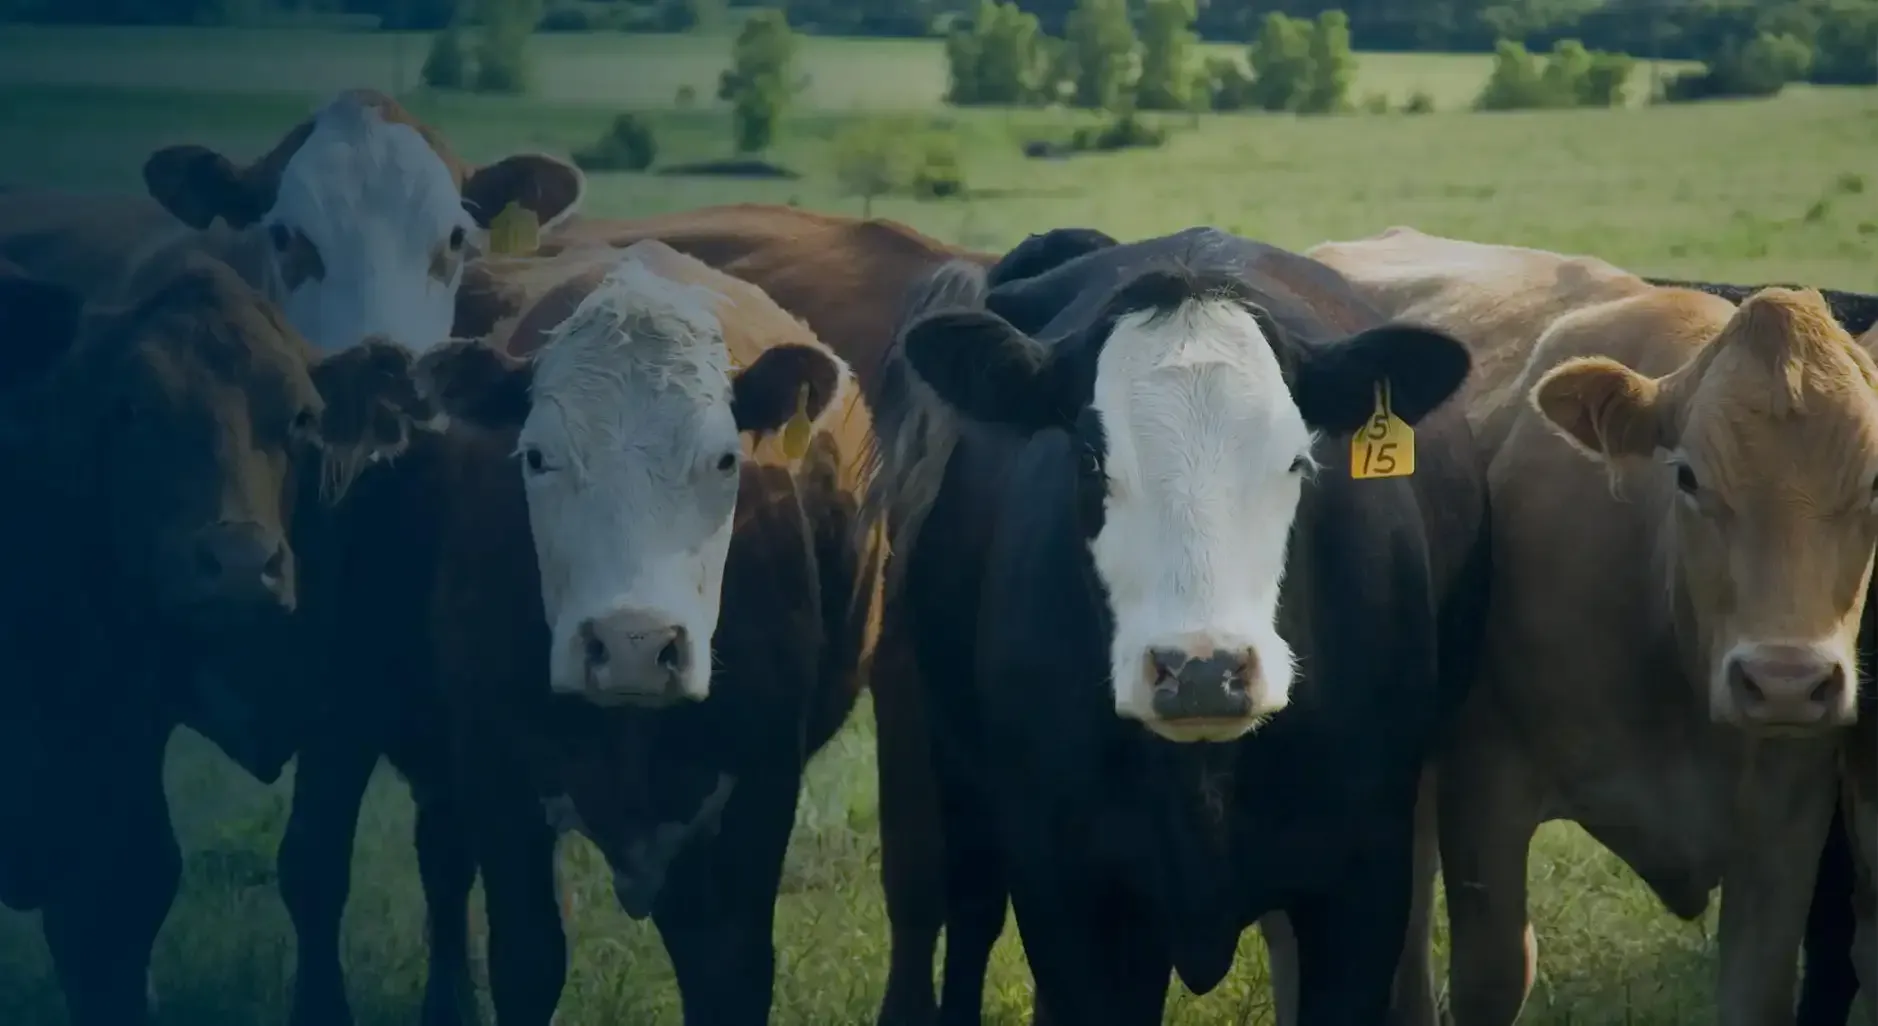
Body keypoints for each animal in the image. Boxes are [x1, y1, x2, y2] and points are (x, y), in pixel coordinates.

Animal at [0, 254, 432, 1026]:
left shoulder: (346, 710)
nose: (238, 563)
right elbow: (121, 889)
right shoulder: (113, 717)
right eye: (130, 410)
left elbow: (313, 866)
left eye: (302, 417)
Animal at [272, 238, 880, 1025]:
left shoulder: (760, 786)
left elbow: (730, 972)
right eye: (536, 456)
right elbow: (528, 961)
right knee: (318, 865)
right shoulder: (499, 772)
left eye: (725, 459)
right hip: (339, 704)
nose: (632, 645)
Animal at [860, 224, 1487, 1025]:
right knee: (962, 907)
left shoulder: (1364, 881)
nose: (1202, 671)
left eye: (1298, 459)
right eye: (1091, 460)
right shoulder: (1065, 891)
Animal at [1306, 225, 1878, 1026]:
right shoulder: (1486, 788)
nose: (1785, 682)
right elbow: (1495, 973)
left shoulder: (1788, 829)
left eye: (1877, 483)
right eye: (1687, 476)